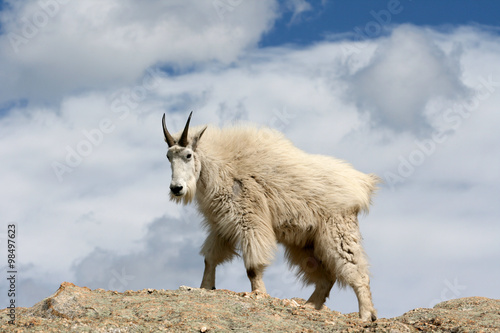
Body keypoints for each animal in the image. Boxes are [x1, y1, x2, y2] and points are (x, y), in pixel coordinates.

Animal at [163, 113, 378, 320]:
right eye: (168, 156)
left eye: (188, 155)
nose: (176, 188)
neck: (220, 166)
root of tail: (361, 184)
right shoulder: (222, 225)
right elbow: (210, 258)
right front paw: (205, 287)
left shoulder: (249, 219)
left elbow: (252, 266)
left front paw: (258, 292)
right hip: (306, 243)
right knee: (327, 277)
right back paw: (309, 305)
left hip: (337, 230)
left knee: (356, 271)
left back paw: (366, 315)